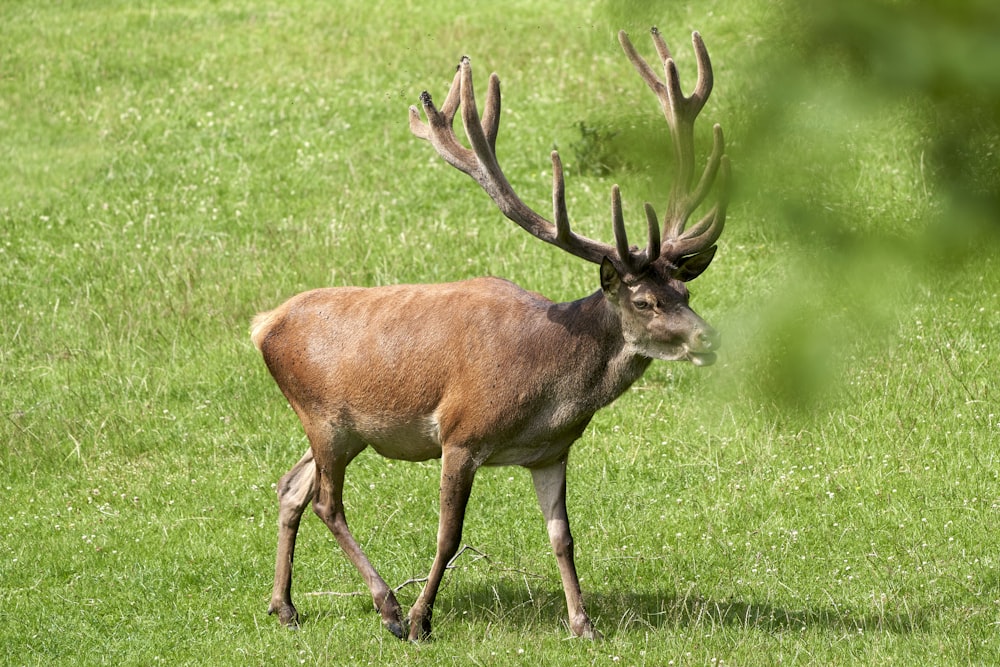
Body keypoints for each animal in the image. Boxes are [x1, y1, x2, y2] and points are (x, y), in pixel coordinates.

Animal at [252, 28, 728, 644]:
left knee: (291, 485)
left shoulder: (552, 451)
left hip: (343, 428)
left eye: (686, 293)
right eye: (644, 301)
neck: (550, 390)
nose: (709, 339)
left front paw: (582, 624)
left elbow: (562, 537)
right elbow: (449, 535)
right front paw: (421, 619)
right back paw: (387, 607)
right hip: (323, 416)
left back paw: (284, 606)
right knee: (327, 503)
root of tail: (263, 324)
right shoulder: (461, 434)